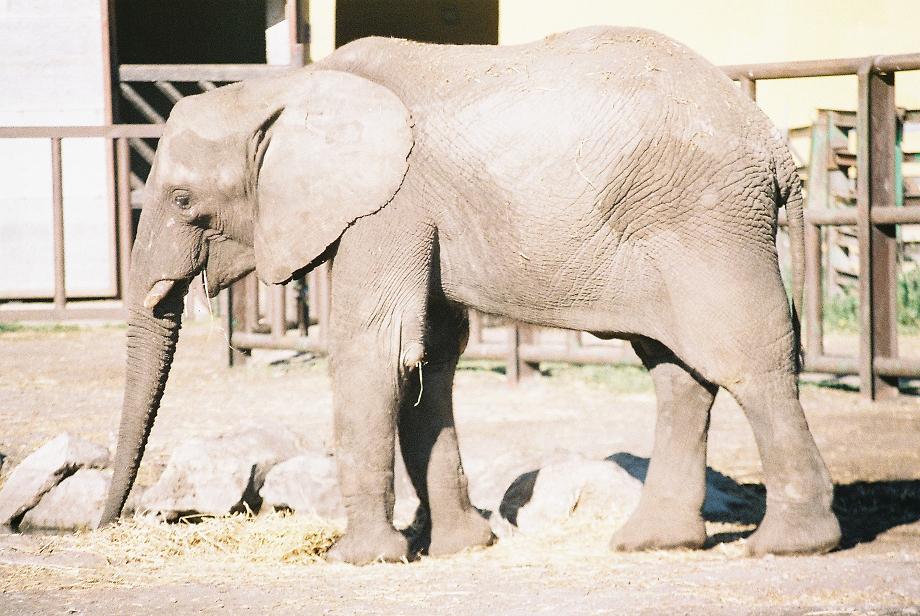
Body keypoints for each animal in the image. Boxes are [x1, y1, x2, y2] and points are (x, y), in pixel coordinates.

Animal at [99, 25, 841, 564]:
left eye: (183, 200)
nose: (106, 527)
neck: (294, 88)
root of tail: (776, 143)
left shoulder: (388, 205)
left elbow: (376, 348)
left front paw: (359, 560)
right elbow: (428, 357)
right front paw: (461, 547)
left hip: (707, 221)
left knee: (742, 357)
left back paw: (788, 546)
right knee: (676, 372)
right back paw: (652, 543)